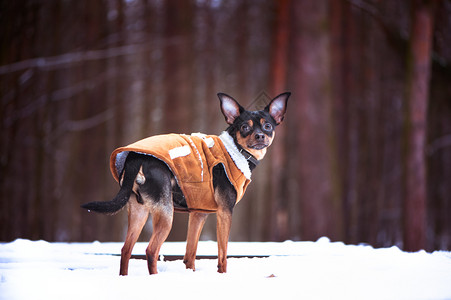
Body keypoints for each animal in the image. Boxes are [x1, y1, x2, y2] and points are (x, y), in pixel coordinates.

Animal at [81, 92, 292, 276]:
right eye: (244, 128)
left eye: (267, 126)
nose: (260, 136)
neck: (237, 150)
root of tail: (135, 157)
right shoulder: (225, 212)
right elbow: (223, 254)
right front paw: (222, 275)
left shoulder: (198, 214)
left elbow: (190, 254)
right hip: (165, 213)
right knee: (151, 250)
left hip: (139, 211)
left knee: (126, 249)